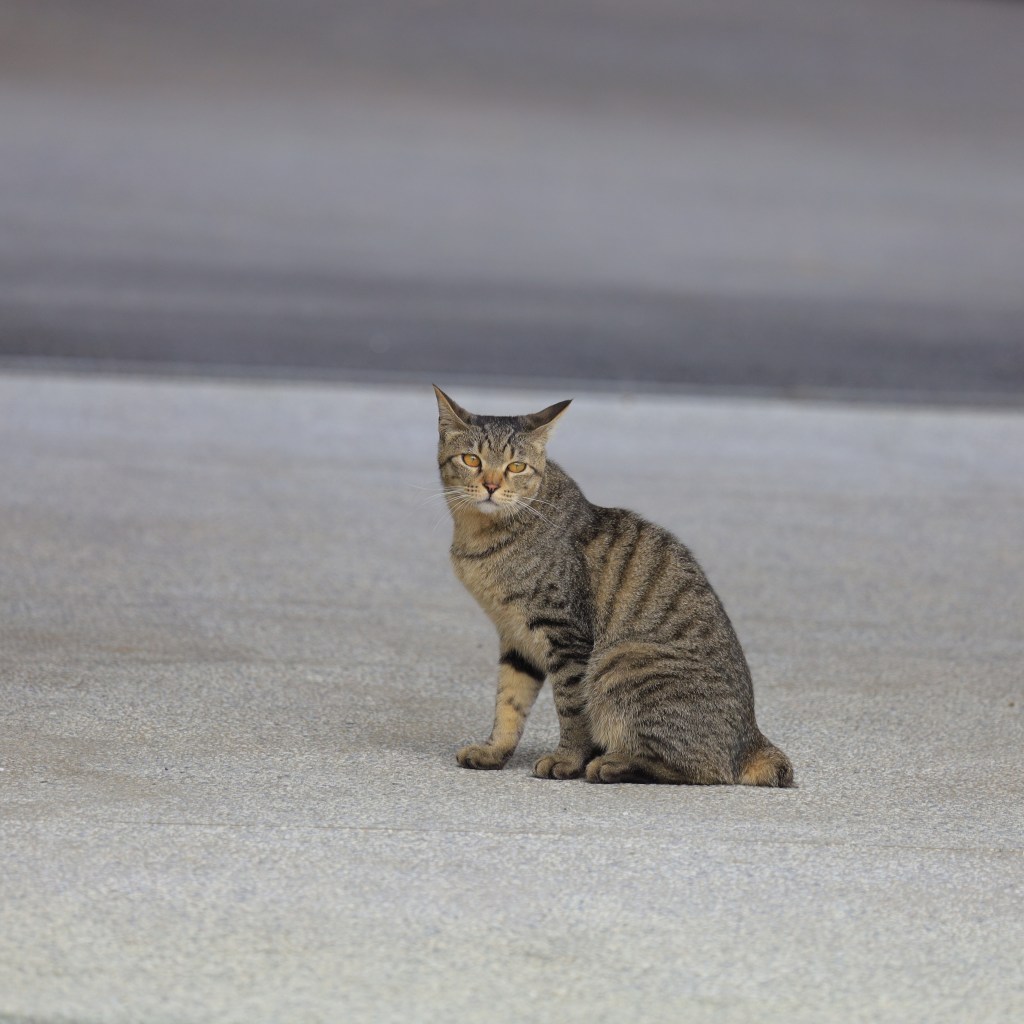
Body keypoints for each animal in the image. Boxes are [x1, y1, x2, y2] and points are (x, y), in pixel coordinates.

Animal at [434, 386, 793, 787]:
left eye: (516, 467)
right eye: (471, 459)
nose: (492, 486)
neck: (482, 537)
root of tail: (753, 738)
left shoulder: (566, 634)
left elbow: (572, 709)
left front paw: (567, 760)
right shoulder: (515, 638)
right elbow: (509, 703)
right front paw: (494, 751)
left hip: (619, 661)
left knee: (700, 768)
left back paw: (612, 763)